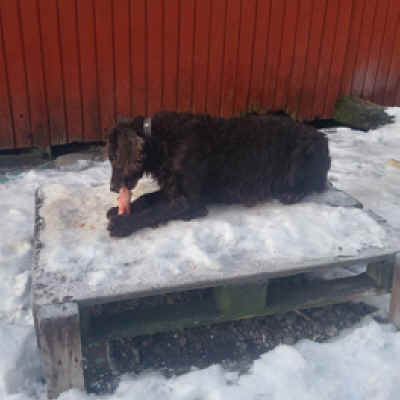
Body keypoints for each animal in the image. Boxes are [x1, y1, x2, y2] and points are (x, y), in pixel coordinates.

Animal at [106, 111, 330, 237]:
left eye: (114, 157)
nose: (113, 188)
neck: (161, 142)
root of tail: (321, 135)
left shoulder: (190, 202)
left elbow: (156, 211)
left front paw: (122, 223)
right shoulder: (174, 188)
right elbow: (147, 199)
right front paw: (119, 210)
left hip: (302, 155)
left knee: (315, 184)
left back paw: (292, 194)